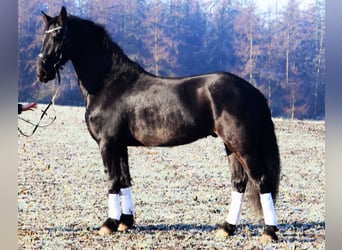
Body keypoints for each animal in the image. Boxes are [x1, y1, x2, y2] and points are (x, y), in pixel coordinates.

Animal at [35, 6, 280, 241]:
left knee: (261, 181)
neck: (109, 83)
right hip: (230, 146)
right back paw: (227, 229)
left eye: (59, 35)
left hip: (243, 146)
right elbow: (124, 179)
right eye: (44, 34)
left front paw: (109, 224)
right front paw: (125, 222)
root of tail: (253, 91)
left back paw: (269, 232)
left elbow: (112, 180)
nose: (42, 71)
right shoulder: (120, 145)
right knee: (239, 183)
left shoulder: (107, 143)